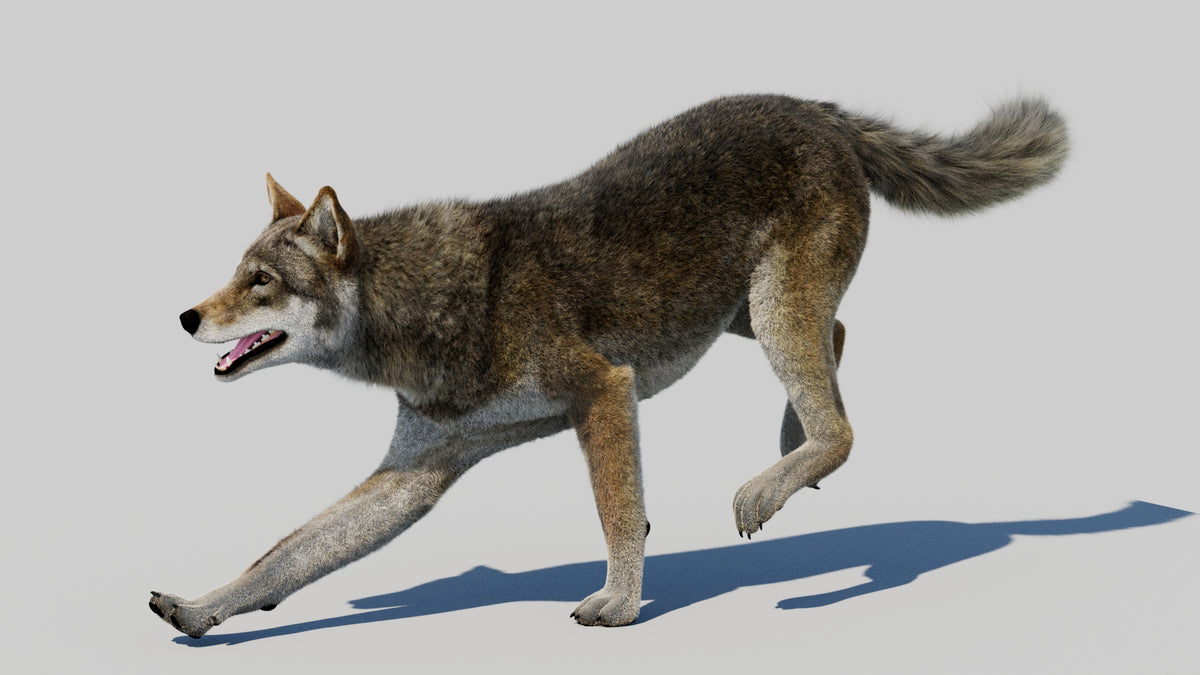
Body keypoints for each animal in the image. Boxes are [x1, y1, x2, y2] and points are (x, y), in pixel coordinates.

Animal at [152, 94, 1067, 638]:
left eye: (261, 283)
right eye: (237, 273)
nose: (187, 316)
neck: (424, 301)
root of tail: (818, 108)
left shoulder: (603, 391)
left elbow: (618, 514)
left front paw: (622, 604)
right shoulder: (414, 472)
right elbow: (283, 556)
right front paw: (199, 611)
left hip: (771, 312)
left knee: (843, 423)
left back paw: (776, 485)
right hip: (742, 316)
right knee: (839, 349)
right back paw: (790, 452)